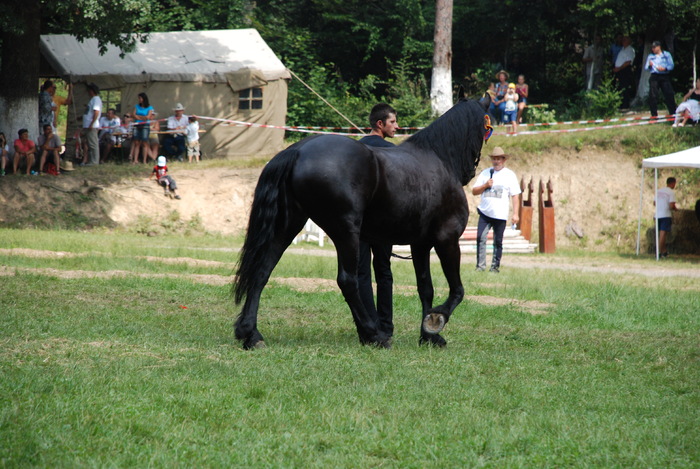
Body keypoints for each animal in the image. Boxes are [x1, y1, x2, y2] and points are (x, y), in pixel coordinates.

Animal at [232, 96, 490, 348]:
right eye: (487, 125)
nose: (470, 171)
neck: (439, 161)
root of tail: (298, 150)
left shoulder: (420, 244)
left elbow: (425, 288)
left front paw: (428, 336)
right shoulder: (447, 239)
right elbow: (457, 290)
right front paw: (436, 320)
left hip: (287, 226)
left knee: (262, 271)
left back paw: (251, 334)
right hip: (345, 232)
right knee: (348, 280)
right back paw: (374, 334)